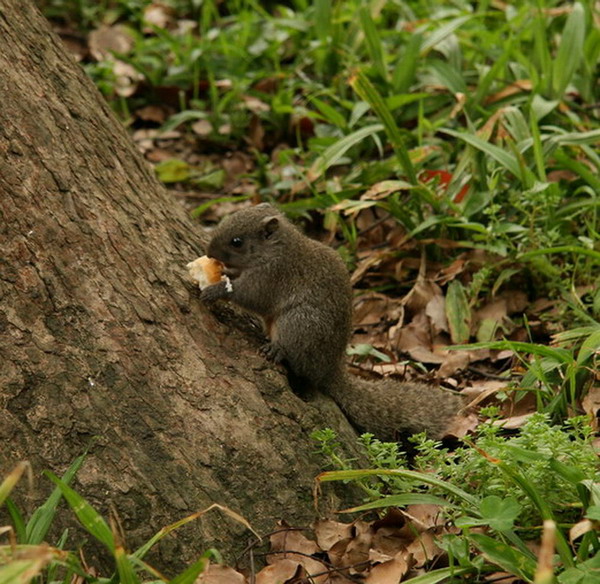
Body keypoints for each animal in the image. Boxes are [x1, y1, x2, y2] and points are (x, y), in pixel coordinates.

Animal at [199, 204, 462, 438]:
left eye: (237, 241)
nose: (210, 252)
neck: (277, 250)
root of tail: (329, 369)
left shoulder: (272, 276)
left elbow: (250, 296)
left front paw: (216, 290)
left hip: (299, 323)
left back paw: (277, 350)